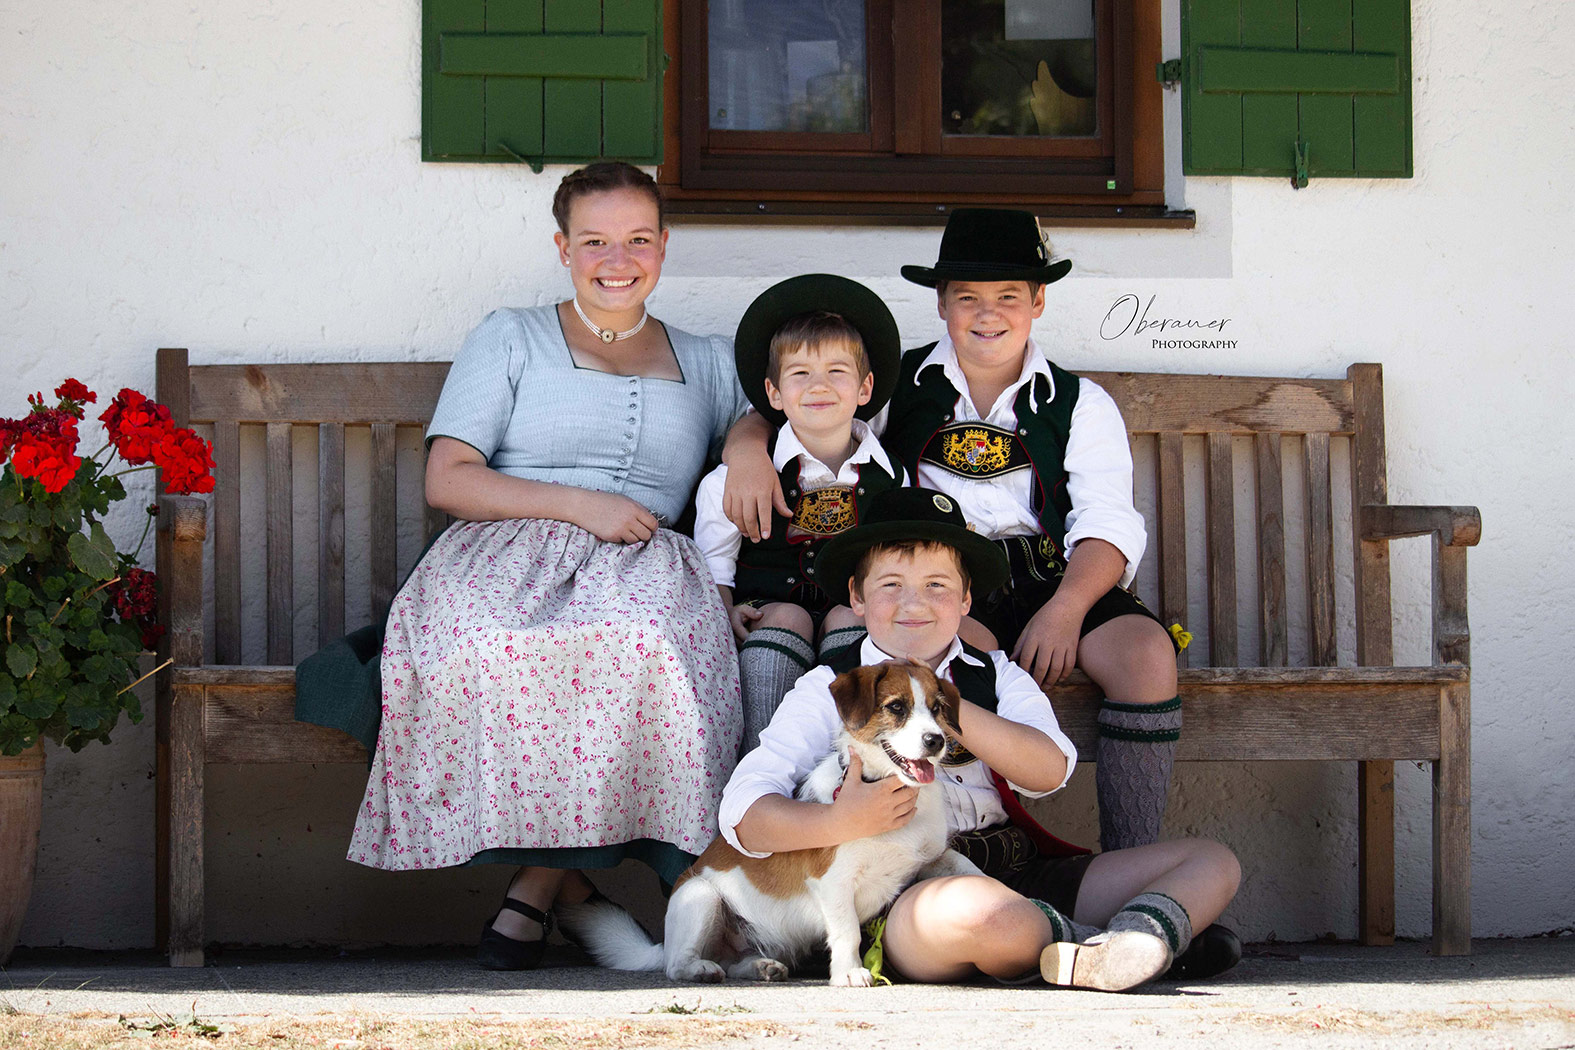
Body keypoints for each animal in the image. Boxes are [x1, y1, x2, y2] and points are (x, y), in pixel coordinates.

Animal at [567, 659, 985, 986]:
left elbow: (967, 866)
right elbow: (847, 931)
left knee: (735, 963)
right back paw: (700, 968)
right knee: (677, 965)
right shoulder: (833, 882)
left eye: (937, 708)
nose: (935, 741)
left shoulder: (932, 857)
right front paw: (848, 972)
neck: (881, 787)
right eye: (896, 707)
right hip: (701, 896)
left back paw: (762, 967)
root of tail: (663, 944)